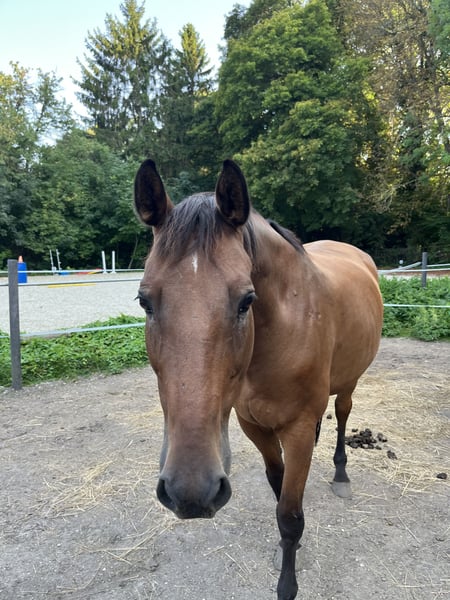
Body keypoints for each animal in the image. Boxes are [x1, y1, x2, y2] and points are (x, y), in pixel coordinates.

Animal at [134, 158, 383, 600]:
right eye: (144, 300)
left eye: (246, 300)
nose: (191, 491)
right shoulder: (254, 425)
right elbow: (280, 490)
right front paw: (292, 547)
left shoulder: (296, 429)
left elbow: (290, 514)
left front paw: (287, 583)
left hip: (349, 383)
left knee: (342, 415)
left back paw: (341, 474)